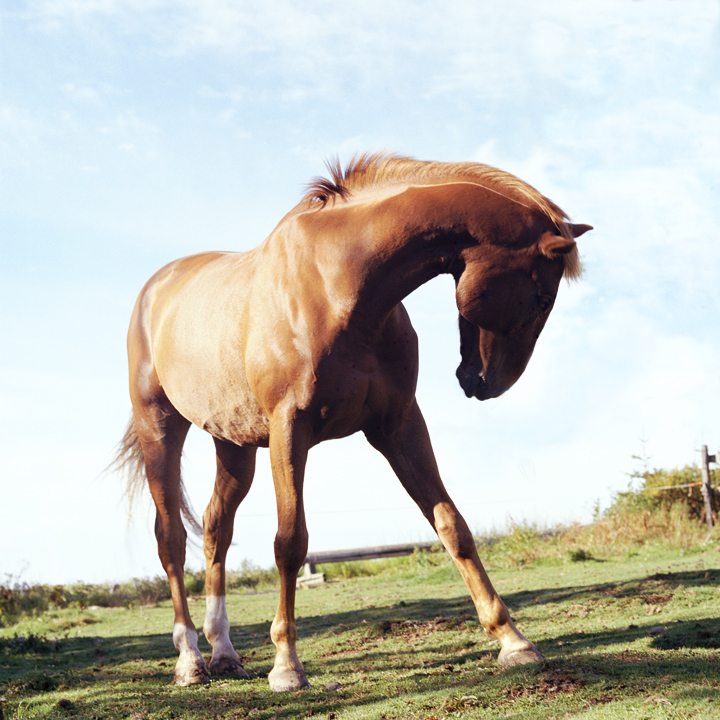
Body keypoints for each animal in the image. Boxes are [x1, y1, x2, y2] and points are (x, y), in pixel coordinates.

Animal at [114, 152, 591, 690]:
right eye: (541, 298)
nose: (486, 383)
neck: (340, 286)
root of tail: (156, 289)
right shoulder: (290, 429)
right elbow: (290, 541)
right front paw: (287, 665)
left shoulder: (399, 425)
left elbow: (451, 524)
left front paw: (513, 640)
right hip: (161, 430)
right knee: (171, 539)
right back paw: (190, 659)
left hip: (234, 444)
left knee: (217, 527)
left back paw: (225, 653)